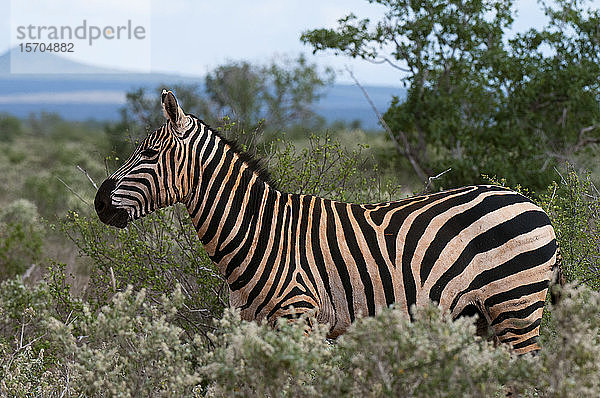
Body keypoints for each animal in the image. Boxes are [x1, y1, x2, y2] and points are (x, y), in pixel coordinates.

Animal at [96, 90, 560, 354]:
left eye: (149, 154)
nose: (99, 203)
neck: (258, 231)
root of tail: (531, 203)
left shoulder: (298, 317)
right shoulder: (252, 323)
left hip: (515, 307)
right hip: (481, 317)